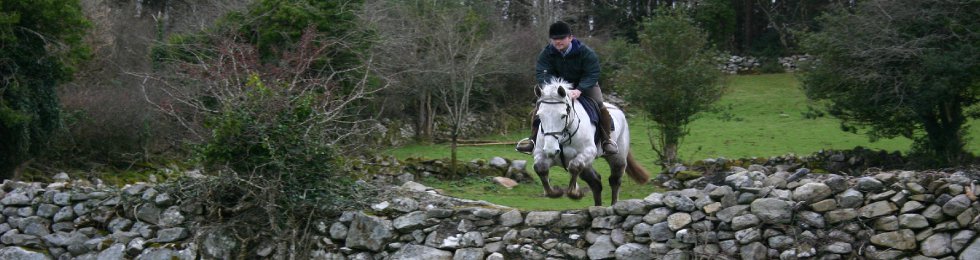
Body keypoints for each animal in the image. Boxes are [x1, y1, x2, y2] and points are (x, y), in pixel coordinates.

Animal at [532, 78, 648, 206]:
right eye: (539, 115)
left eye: (563, 115)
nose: (551, 150)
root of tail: (619, 110)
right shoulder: (541, 154)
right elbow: (540, 168)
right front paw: (555, 192)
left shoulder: (587, 152)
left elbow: (574, 167)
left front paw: (575, 193)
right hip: (587, 164)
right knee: (595, 182)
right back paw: (598, 206)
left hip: (617, 158)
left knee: (614, 180)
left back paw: (614, 205)